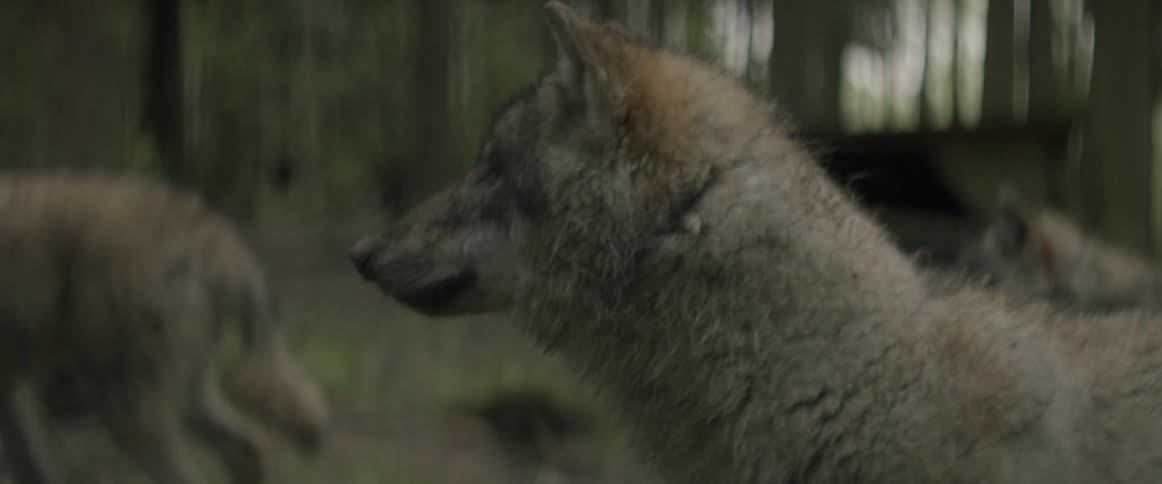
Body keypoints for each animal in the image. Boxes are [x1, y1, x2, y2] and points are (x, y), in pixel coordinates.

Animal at [0, 172, 328, 484]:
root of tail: (209, 230)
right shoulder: (10, 392)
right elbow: (32, 469)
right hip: (184, 395)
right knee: (248, 446)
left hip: (124, 404)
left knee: (190, 473)